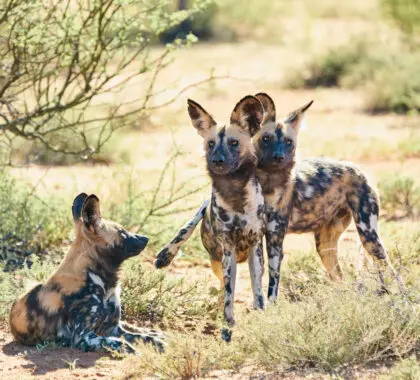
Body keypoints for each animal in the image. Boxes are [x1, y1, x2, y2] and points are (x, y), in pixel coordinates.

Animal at [9, 193, 164, 354]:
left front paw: (158, 342)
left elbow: (143, 337)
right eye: (122, 232)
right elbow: (119, 342)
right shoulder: (83, 337)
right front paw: (134, 350)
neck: (102, 282)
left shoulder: (113, 328)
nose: (146, 238)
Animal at [156, 96, 264, 326]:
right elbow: (229, 290)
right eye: (211, 143)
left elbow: (258, 289)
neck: (235, 195)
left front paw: (261, 313)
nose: (216, 161)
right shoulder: (228, 248)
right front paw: (228, 319)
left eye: (234, 143)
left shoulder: (255, 245)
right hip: (218, 259)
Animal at [254, 93, 406, 296]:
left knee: (392, 272)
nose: (279, 157)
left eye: (288, 142)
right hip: (325, 247)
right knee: (341, 280)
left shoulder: (275, 237)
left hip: (369, 237)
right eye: (266, 138)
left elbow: (272, 284)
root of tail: (358, 169)